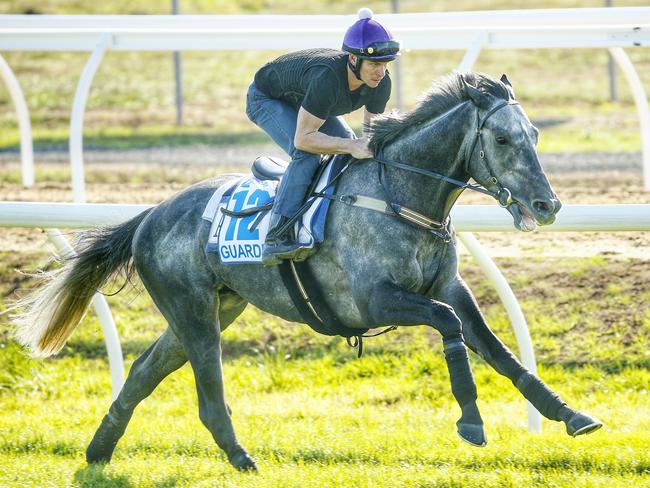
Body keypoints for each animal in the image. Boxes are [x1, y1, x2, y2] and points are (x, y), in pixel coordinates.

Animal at [12, 73, 604, 472]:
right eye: (502, 139)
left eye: (535, 134)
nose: (548, 205)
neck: (399, 194)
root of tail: (150, 214)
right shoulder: (376, 299)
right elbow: (450, 326)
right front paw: (472, 420)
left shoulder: (448, 286)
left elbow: (497, 348)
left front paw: (570, 414)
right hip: (195, 313)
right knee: (208, 393)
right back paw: (242, 459)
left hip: (213, 308)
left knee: (141, 372)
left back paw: (98, 453)